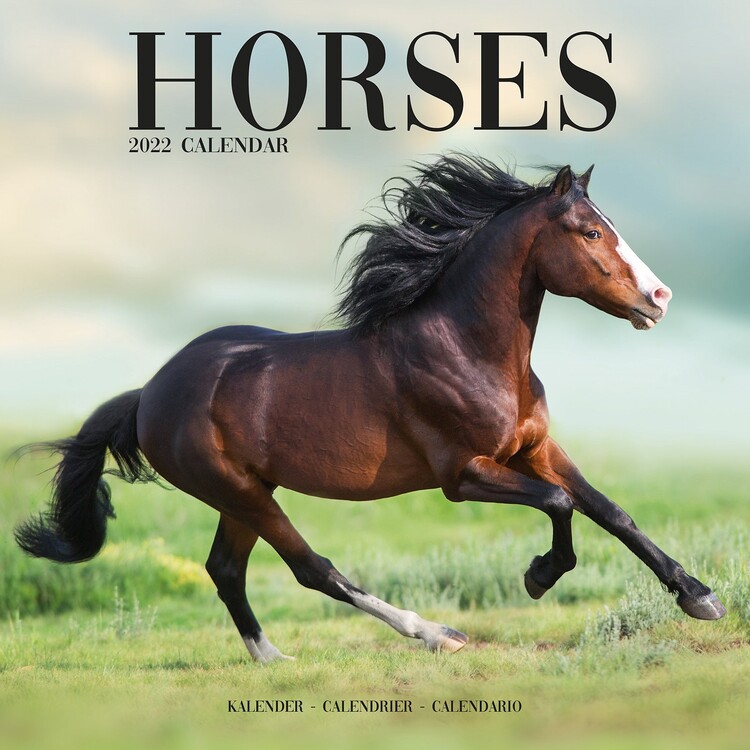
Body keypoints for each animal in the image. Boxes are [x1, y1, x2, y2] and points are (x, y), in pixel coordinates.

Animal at [15, 154, 726, 663]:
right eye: (590, 232)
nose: (659, 298)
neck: (468, 349)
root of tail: (149, 394)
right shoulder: (462, 476)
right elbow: (560, 504)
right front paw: (539, 576)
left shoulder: (534, 448)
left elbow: (611, 510)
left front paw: (700, 597)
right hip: (241, 492)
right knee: (311, 569)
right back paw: (436, 634)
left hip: (243, 493)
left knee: (225, 570)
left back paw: (272, 659)